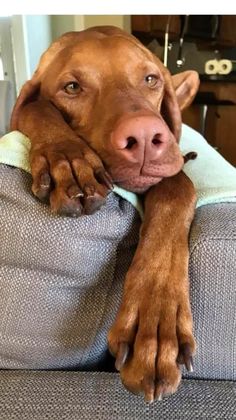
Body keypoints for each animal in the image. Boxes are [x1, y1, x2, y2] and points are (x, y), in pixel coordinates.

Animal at [10, 25, 199, 400]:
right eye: (72, 87)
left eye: (151, 79)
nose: (144, 135)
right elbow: (38, 108)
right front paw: (67, 157)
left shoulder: (170, 168)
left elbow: (178, 187)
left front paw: (157, 324)